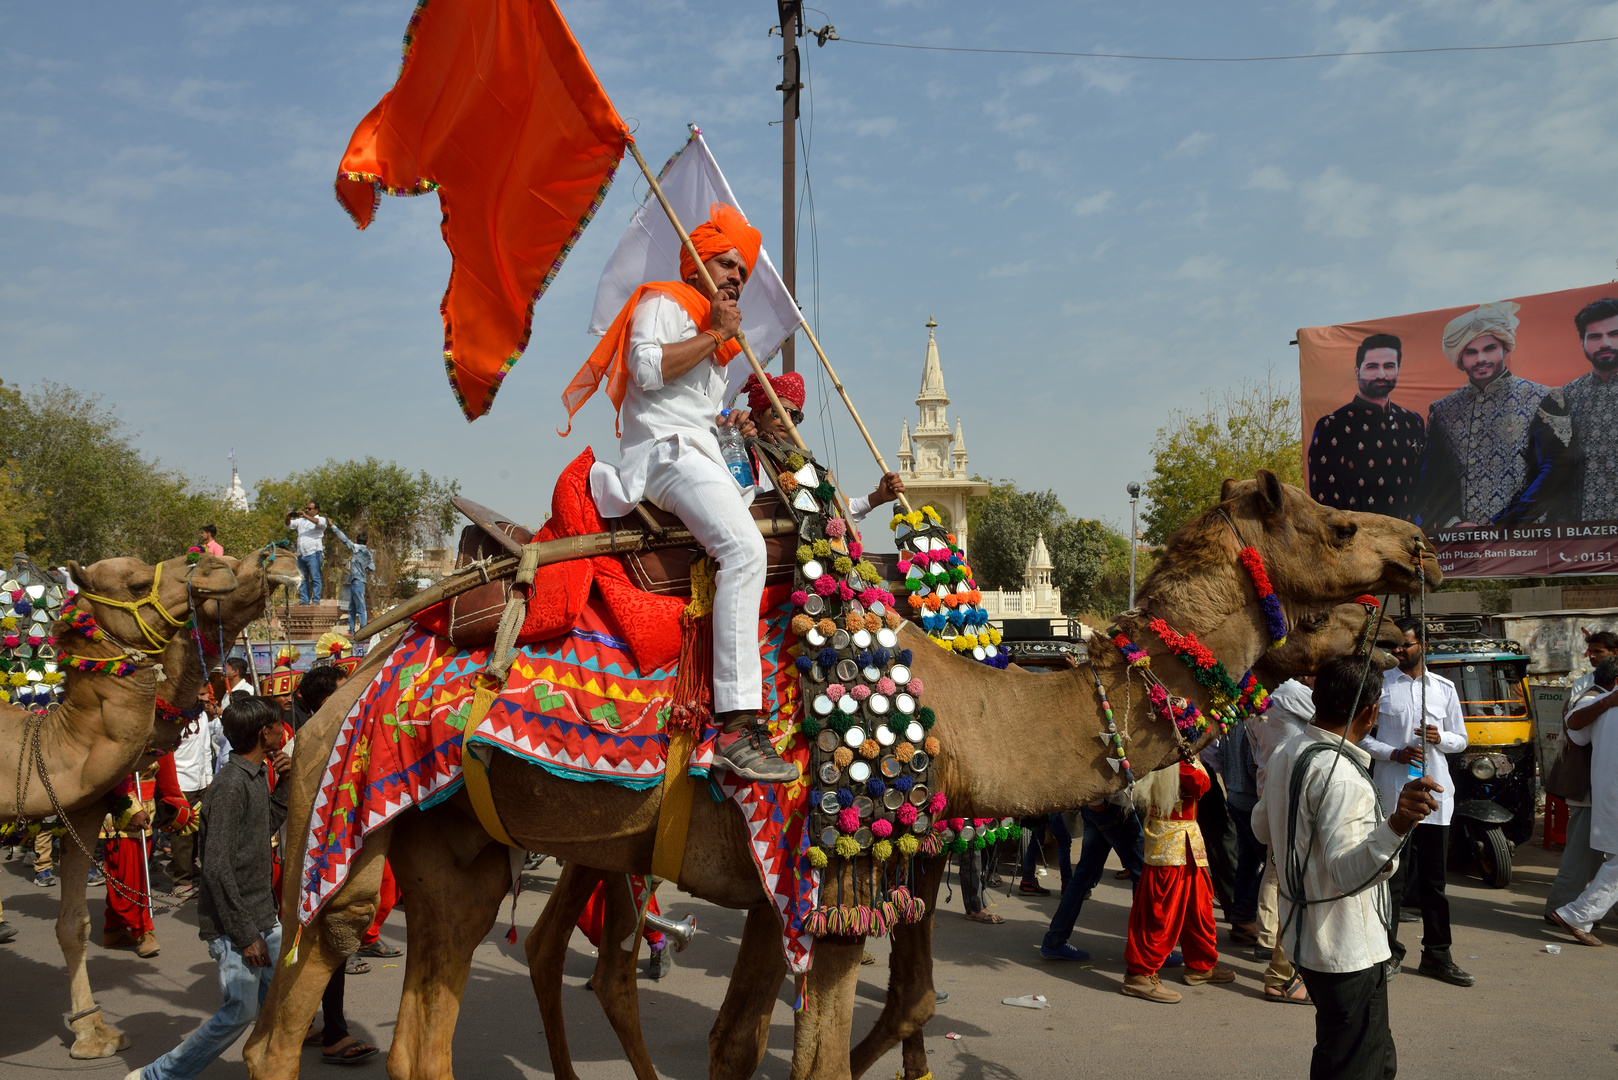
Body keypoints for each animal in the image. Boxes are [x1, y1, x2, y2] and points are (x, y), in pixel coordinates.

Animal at [0, 544, 300, 1062]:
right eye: (137, 584)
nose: (279, 557)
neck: (30, 743)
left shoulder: (81, 808)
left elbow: (72, 923)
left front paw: (92, 1033)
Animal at [239, 476, 1430, 1080]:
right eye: (1335, 525)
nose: (1416, 542)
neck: (958, 708)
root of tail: (341, 672)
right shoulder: (835, 888)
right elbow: (819, 1055)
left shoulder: (795, 887)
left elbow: (768, 1035)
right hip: (335, 816)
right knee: (291, 1006)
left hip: (464, 849)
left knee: (434, 1022)